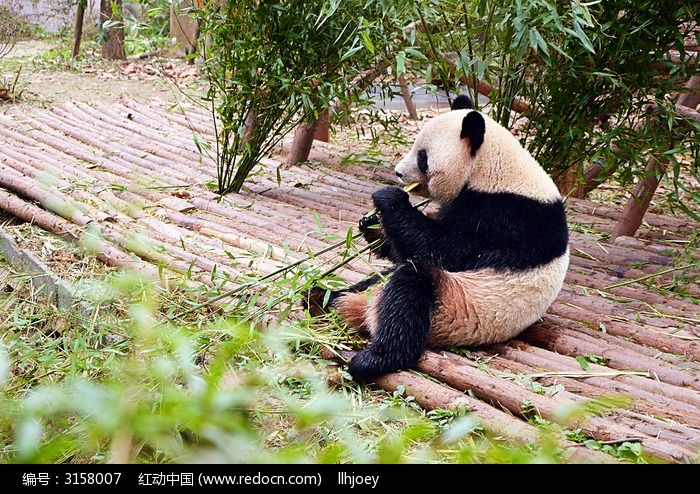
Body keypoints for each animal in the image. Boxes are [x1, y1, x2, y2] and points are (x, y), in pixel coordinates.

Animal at [310, 96, 568, 382]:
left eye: (423, 157)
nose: (398, 173)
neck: (495, 170)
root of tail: (366, 307)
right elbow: (406, 249)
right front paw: (371, 224)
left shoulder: (506, 219)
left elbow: (442, 249)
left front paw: (389, 200)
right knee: (375, 280)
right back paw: (321, 297)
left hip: (454, 308)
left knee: (409, 291)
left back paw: (372, 360)